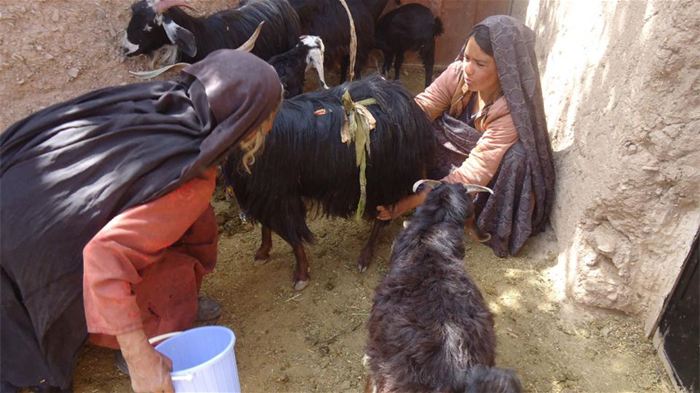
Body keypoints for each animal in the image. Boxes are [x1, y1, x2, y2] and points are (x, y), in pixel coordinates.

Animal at [221, 75, 434, 288]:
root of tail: (408, 105)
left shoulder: (279, 194)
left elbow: (291, 235)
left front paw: (301, 275)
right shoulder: (261, 194)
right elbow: (267, 226)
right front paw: (263, 252)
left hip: (383, 180)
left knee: (383, 216)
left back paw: (364, 257)